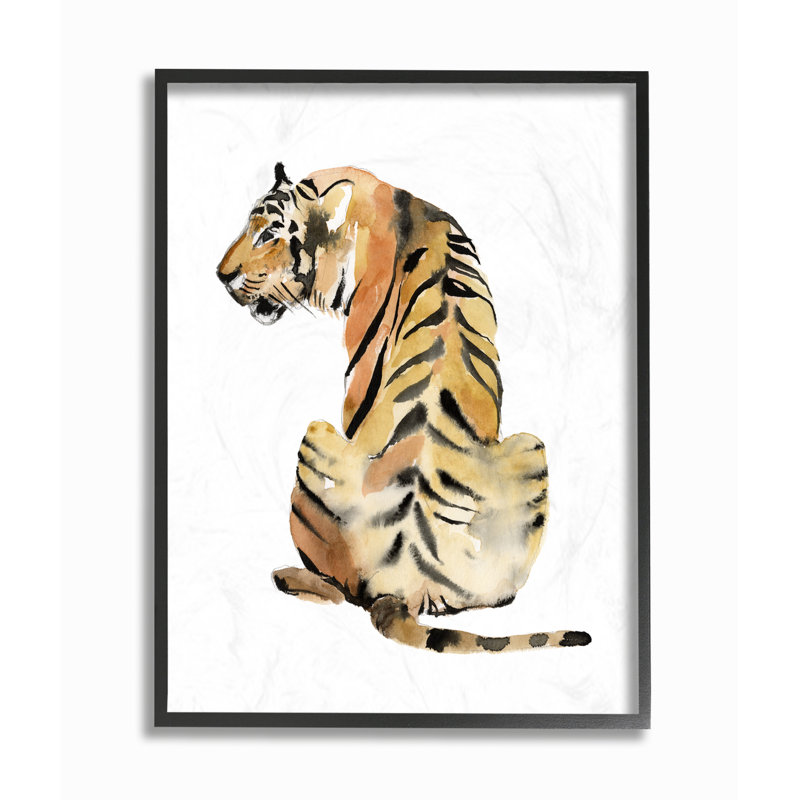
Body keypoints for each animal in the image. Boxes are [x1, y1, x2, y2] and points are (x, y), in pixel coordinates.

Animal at [216, 163, 591, 653]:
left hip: (315, 435)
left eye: (269, 234)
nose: (220, 275)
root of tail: (405, 584)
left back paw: (289, 576)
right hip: (530, 452)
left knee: (342, 591)